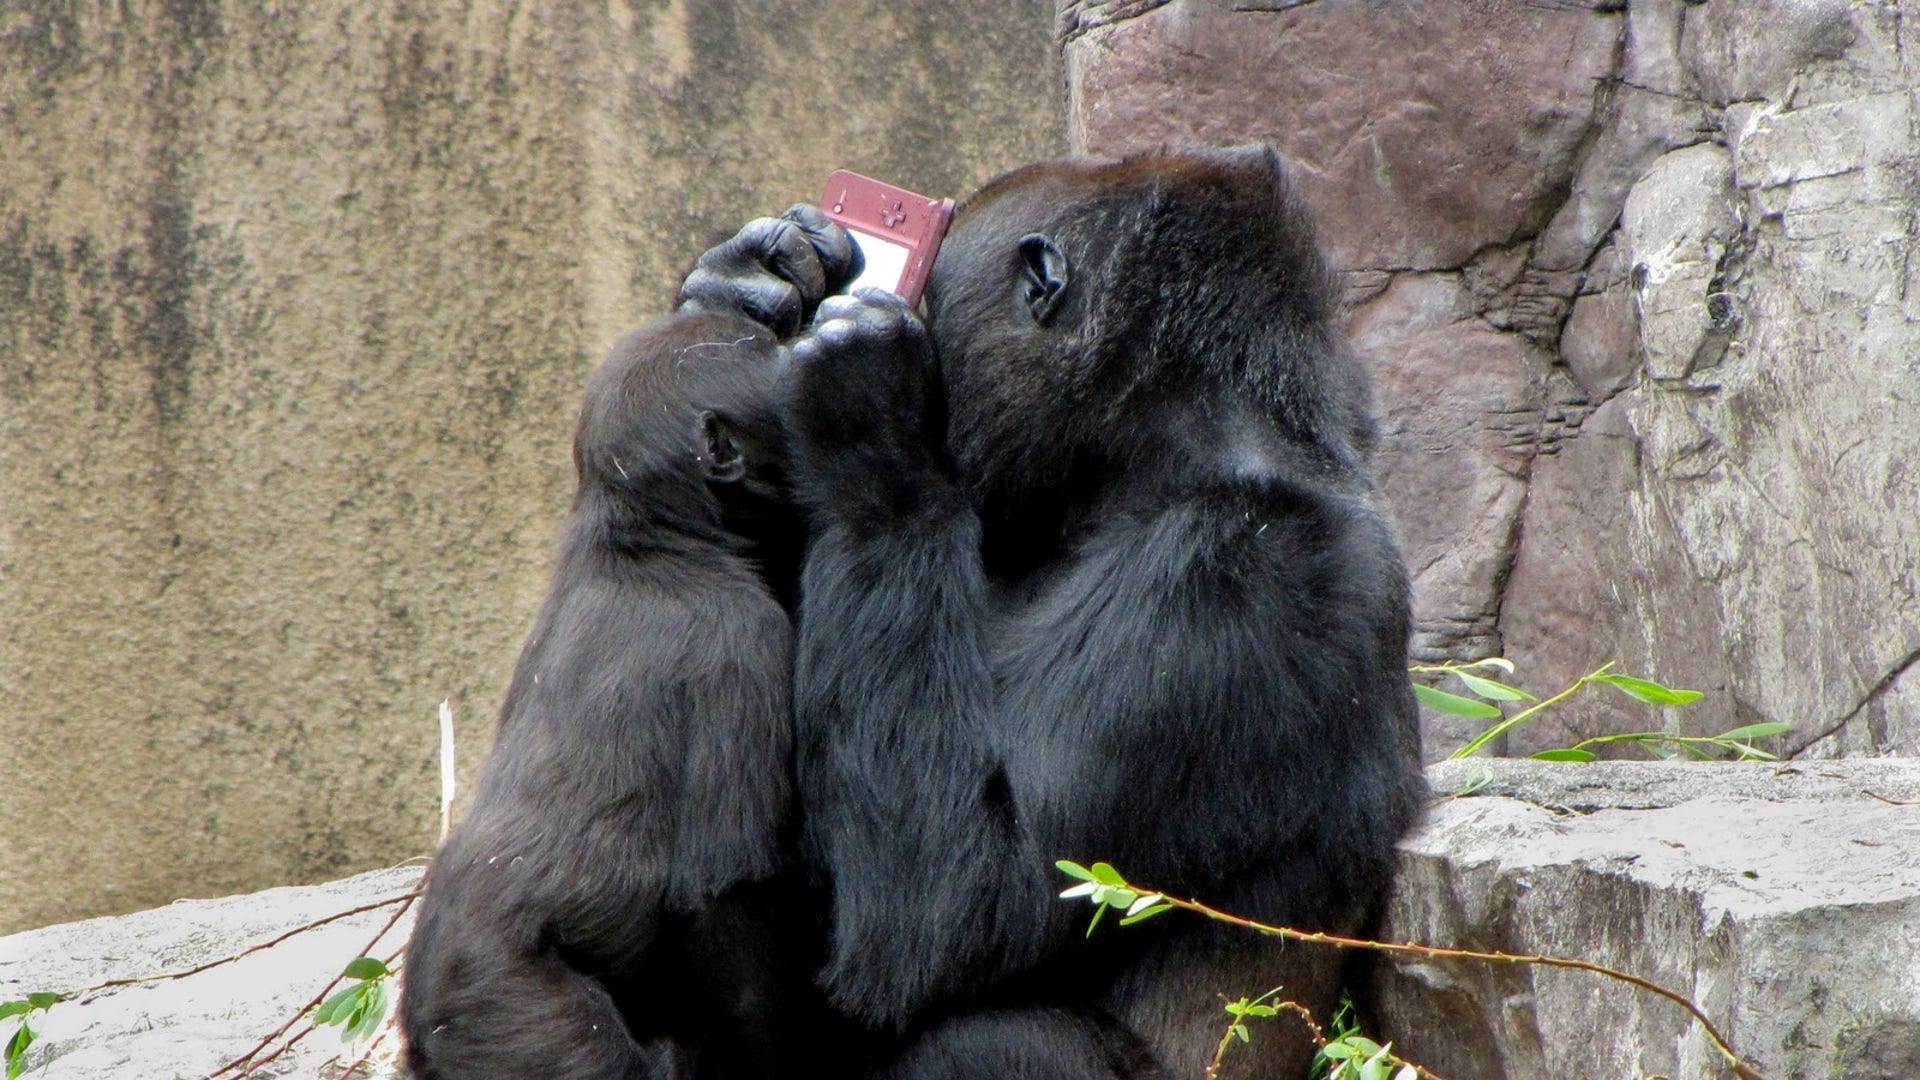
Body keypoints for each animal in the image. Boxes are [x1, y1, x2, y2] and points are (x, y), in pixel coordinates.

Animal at [683, 145, 1420, 1076]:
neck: (1155, 460)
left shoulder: (1250, 569)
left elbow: (952, 905)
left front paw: (864, 402)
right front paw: (745, 287)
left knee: (982, 1033)